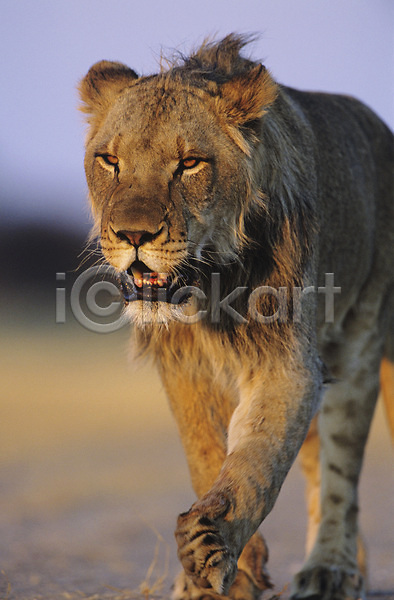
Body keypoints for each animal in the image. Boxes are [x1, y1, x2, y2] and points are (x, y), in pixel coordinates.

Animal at [77, 35, 394, 596]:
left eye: (189, 163)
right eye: (110, 160)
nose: (132, 235)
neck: (208, 289)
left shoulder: (288, 361)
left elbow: (257, 460)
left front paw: (210, 543)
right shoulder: (183, 366)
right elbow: (205, 454)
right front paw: (228, 573)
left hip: (361, 339)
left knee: (340, 467)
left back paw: (331, 569)